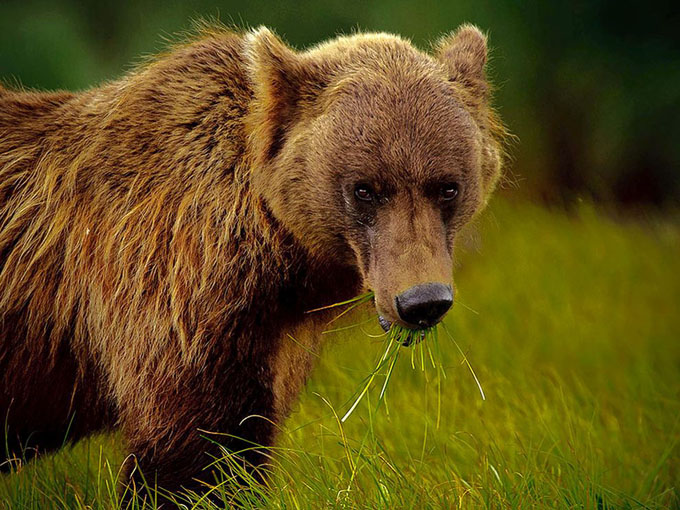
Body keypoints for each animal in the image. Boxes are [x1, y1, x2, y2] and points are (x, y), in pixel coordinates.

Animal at [0, 22, 504, 498]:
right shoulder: (170, 286)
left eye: (447, 186)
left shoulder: (274, 336)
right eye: (365, 188)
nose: (422, 301)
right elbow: (199, 447)